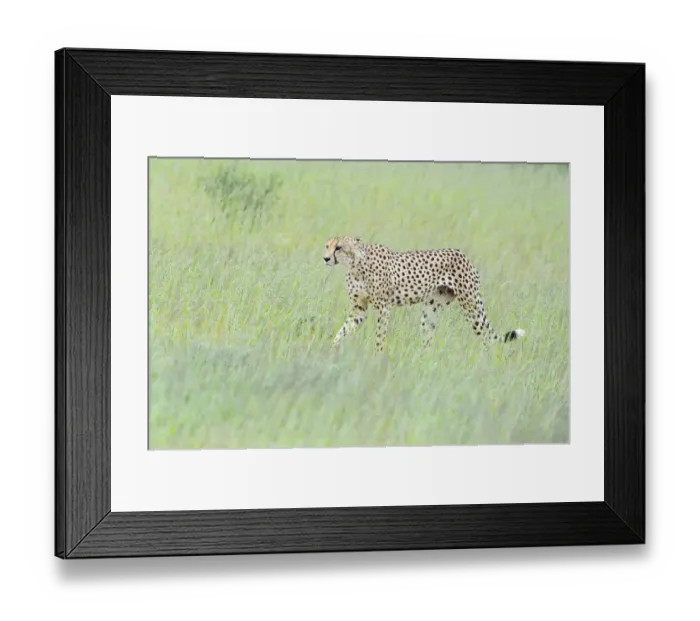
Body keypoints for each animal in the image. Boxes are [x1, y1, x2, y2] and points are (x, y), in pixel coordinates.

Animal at [323, 236, 525, 352]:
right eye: (327, 246)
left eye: (338, 247)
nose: (325, 258)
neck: (355, 265)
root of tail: (462, 255)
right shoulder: (359, 308)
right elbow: (343, 330)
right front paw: (332, 350)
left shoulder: (383, 307)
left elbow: (380, 336)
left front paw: (377, 357)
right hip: (431, 310)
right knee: (428, 337)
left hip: (471, 306)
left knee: (486, 338)